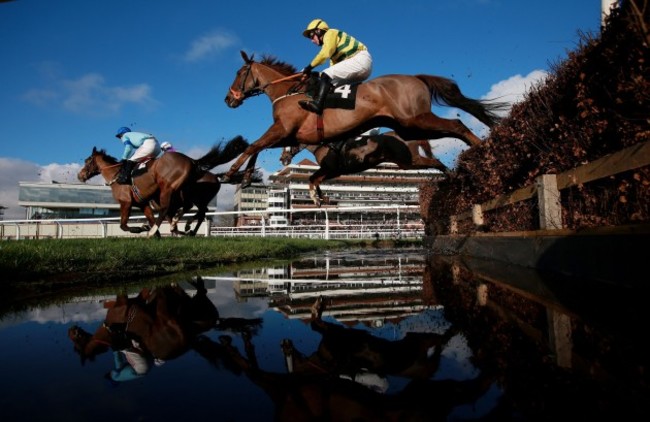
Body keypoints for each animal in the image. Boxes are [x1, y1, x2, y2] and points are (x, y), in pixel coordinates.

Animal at [76, 136, 248, 237]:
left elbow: (123, 224)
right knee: (197, 211)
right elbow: (152, 218)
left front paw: (143, 229)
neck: (116, 174)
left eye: (87, 161)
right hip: (188, 194)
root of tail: (193, 161)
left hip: (169, 188)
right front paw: (155, 231)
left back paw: (183, 228)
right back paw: (186, 228)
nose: (80, 175)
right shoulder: (143, 203)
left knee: (179, 209)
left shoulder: (126, 202)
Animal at [220, 49, 504, 183]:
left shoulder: (283, 129)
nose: (228, 99)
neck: (288, 92)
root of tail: (415, 77)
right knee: (451, 130)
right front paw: (246, 176)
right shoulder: (290, 133)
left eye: (239, 72)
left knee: (456, 124)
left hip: (415, 120)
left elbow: (253, 145)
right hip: (410, 127)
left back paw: (484, 151)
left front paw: (231, 172)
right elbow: (256, 148)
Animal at [278, 130, 450, 206]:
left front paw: (315, 199)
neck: (325, 145)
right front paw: (323, 198)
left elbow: (312, 178)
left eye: (289, 142)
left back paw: (450, 175)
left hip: (409, 160)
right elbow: (316, 180)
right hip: (405, 163)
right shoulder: (334, 172)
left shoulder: (331, 169)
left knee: (436, 162)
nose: (283, 159)